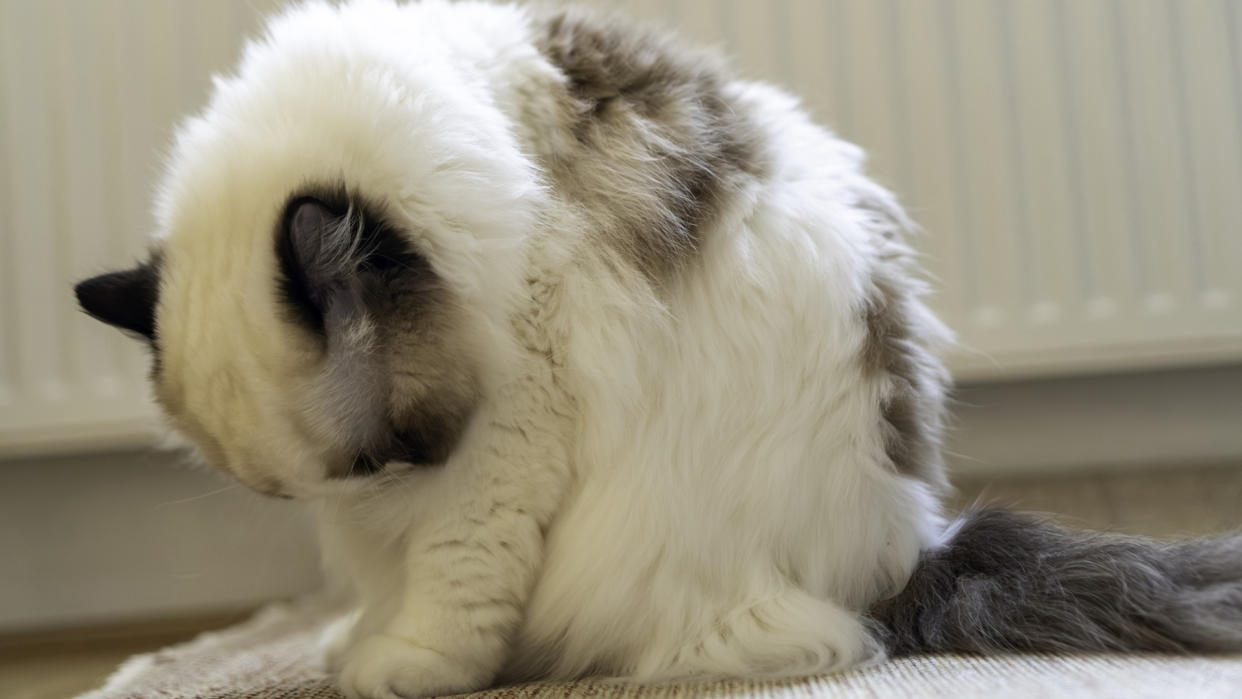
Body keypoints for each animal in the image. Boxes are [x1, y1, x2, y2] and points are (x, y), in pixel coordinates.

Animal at [75, 1, 1242, 699]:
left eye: (388, 455)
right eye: (348, 478)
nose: (376, 502)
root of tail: (904, 557)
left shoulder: (506, 433)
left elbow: (451, 583)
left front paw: (397, 662)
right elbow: (388, 583)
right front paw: (356, 634)